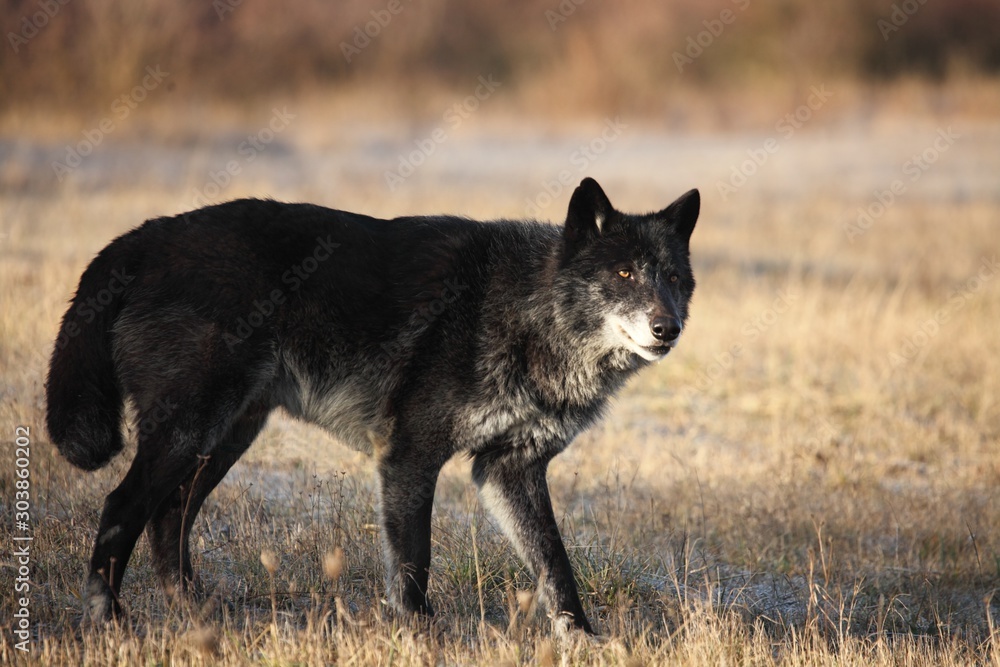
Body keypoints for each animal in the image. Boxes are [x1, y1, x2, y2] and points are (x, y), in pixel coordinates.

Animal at [46, 177, 699, 634]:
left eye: (671, 277)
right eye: (623, 273)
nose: (668, 329)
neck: (526, 309)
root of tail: (147, 235)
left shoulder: (507, 469)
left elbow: (555, 565)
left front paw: (584, 640)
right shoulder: (408, 455)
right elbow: (413, 564)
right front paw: (421, 637)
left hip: (224, 437)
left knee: (168, 516)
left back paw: (196, 614)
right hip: (189, 430)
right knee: (123, 506)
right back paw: (109, 622)